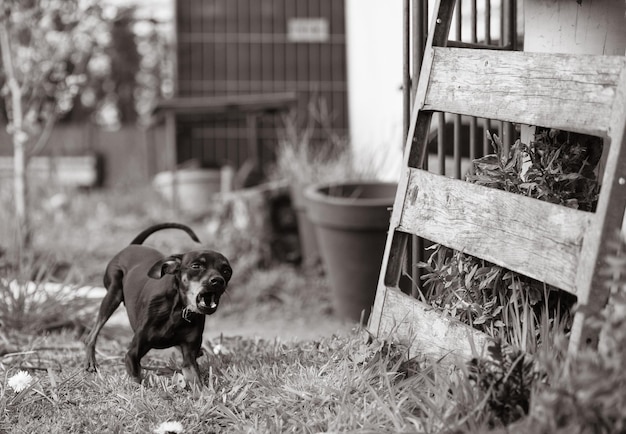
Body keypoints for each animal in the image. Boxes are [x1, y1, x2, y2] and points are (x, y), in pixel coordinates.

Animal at [81, 224, 230, 384]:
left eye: (227, 270)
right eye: (196, 266)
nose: (218, 281)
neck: (177, 310)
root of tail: (131, 246)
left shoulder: (189, 360)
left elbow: (197, 382)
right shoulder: (132, 355)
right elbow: (139, 382)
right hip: (113, 294)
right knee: (92, 335)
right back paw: (91, 361)